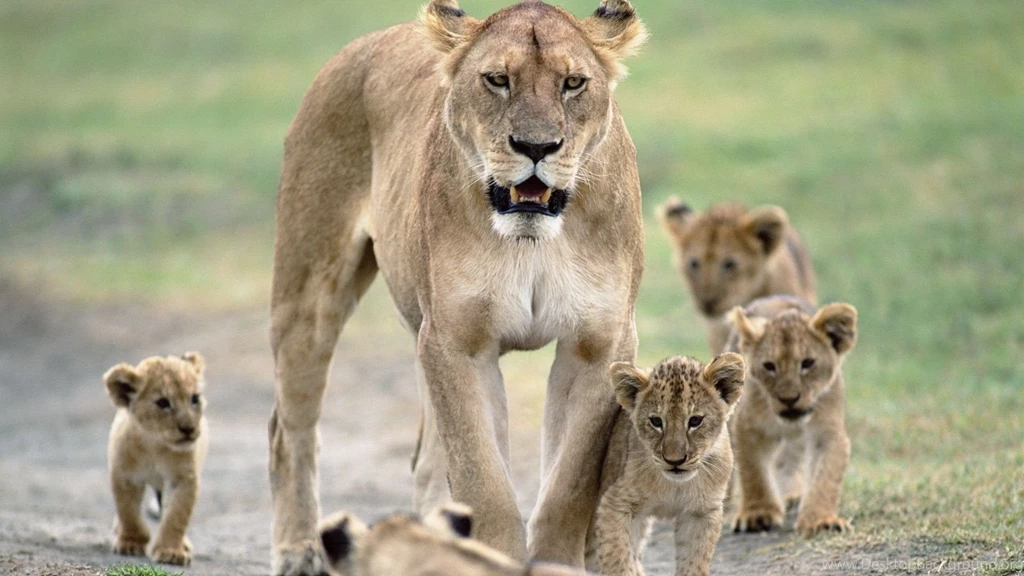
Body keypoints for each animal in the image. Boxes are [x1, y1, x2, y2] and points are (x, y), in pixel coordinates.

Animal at [103, 352, 209, 566]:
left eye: (194, 398)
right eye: (162, 402)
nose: (188, 429)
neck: (155, 444)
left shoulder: (184, 479)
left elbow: (176, 516)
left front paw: (172, 551)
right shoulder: (124, 475)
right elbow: (128, 511)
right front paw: (131, 543)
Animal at [586, 354, 744, 576]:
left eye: (695, 421)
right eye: (656, 421)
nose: (675, 461)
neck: (674, 485)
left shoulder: (702, 512)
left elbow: (694, 563)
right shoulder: (614, 503)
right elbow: (617, 558)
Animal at [726, 296, 857, 536]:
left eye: (808, 363)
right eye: (769, 366)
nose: (789, 399)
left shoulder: (828, 433)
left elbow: (826, 478)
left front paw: (821, 521)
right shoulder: (748, 428)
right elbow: (754, 472)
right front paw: (758, 514)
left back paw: (792, 496)